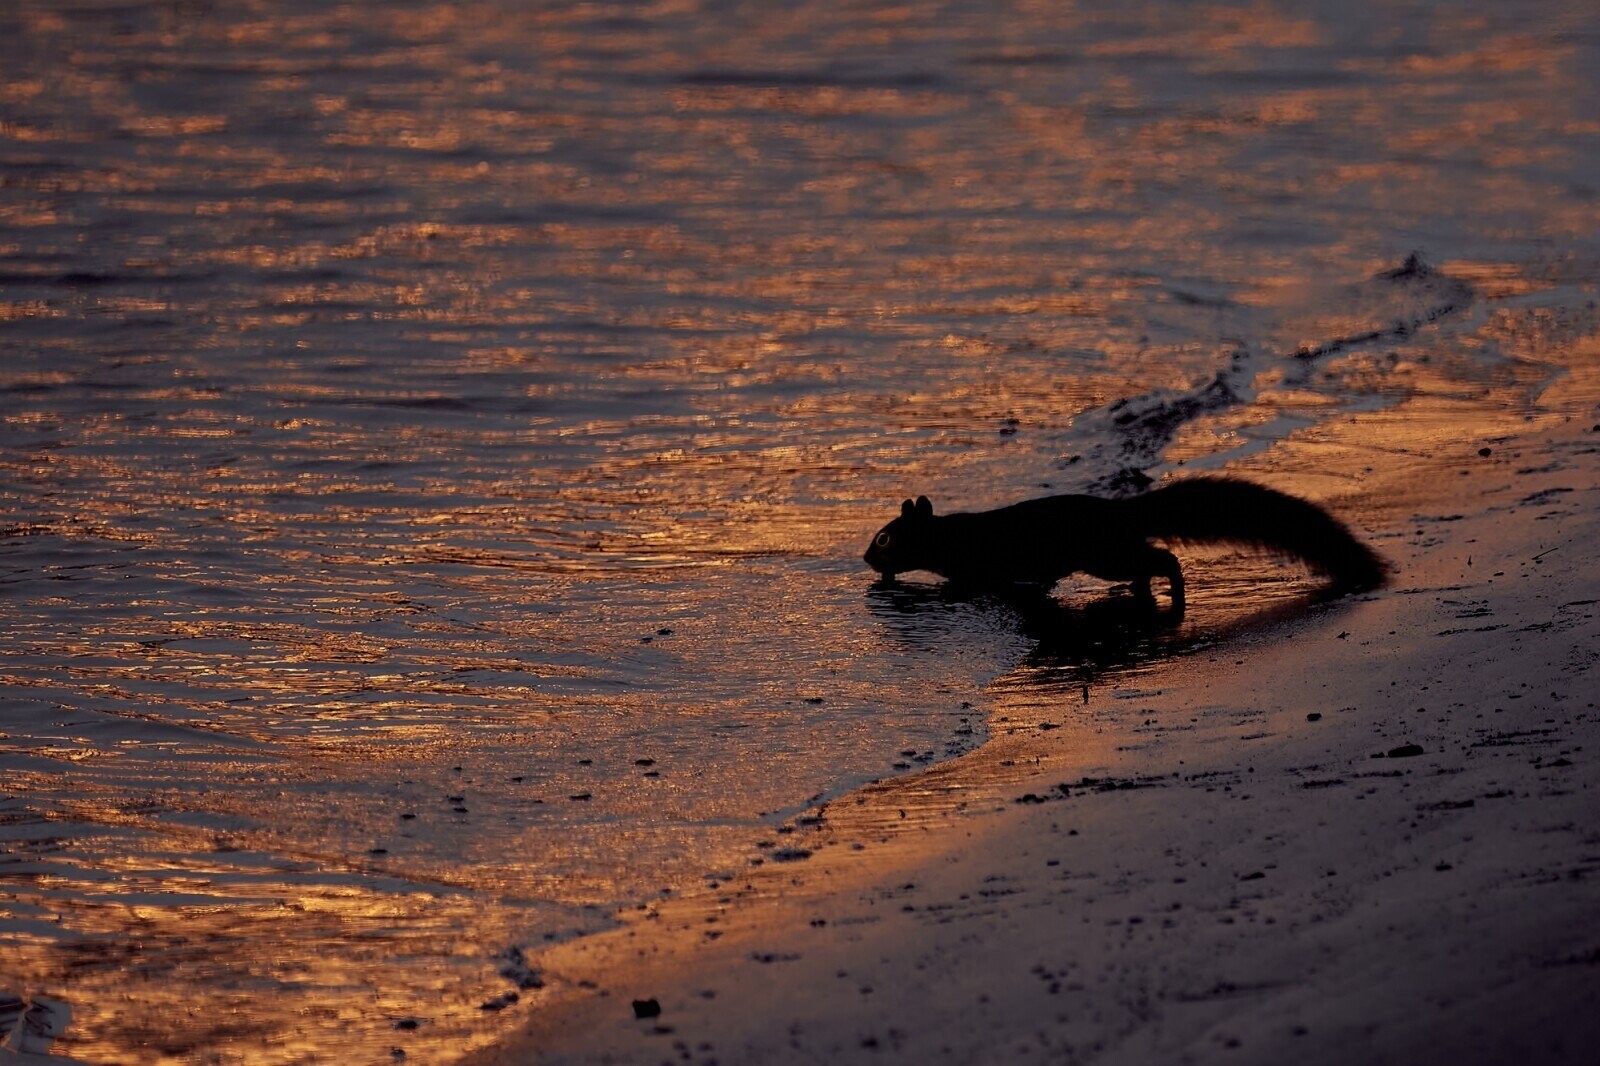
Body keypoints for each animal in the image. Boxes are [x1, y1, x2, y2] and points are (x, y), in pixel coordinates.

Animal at [863, 476, 1387, 610]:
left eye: (885, 537)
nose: (867, 558)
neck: (949, 535)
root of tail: (1121, 510)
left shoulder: (974, 566)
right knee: (1145, 565)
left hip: (1105, 554)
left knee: (1163, 558)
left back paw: (1174, 592)